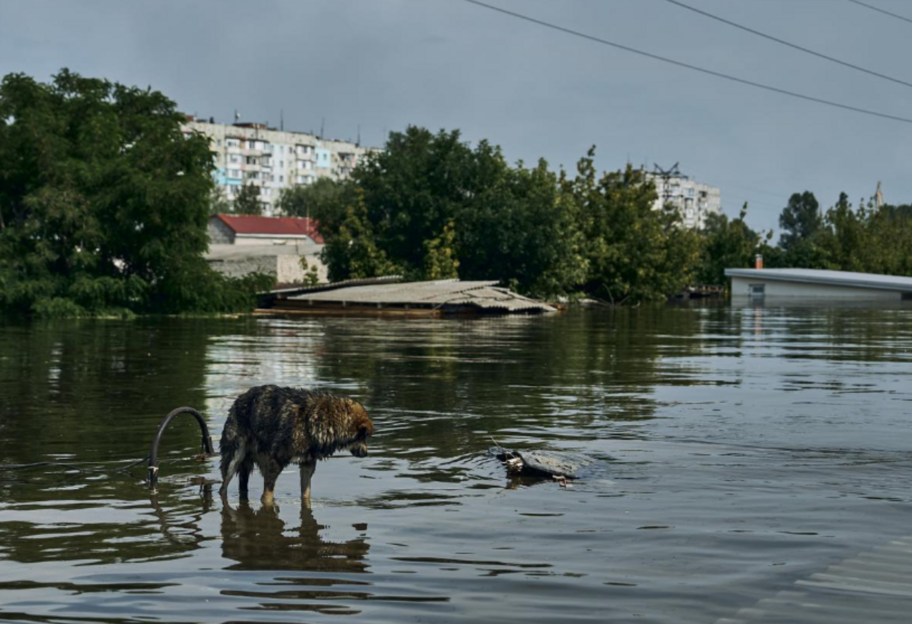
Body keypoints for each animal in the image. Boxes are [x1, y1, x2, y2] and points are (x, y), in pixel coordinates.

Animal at [219, 386, 372, 508]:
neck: (323, 419)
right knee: (223, 488)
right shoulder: (275, 462)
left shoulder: (307, 465)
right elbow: (266, 497)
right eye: (363, 436)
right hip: (234, 459)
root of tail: (238, 399)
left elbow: (306, 494)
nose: (366, 453)